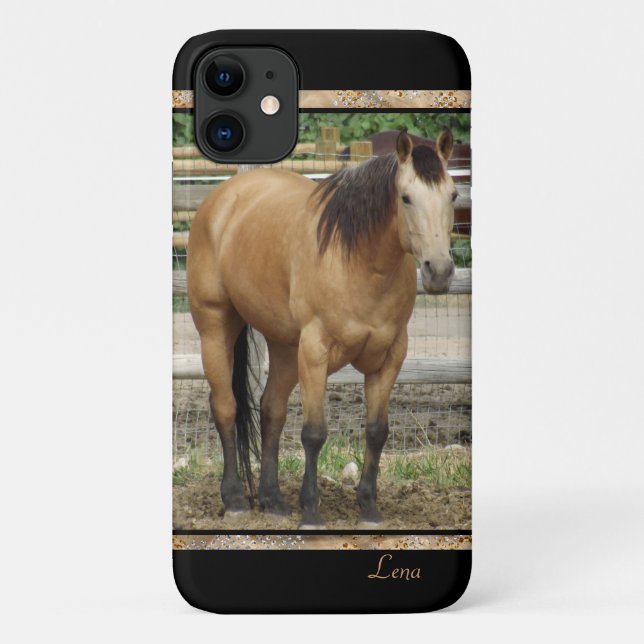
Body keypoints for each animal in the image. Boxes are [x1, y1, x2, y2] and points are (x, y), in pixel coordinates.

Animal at [187, 129, 457, 527]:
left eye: (453, 195)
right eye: (406, 197)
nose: (439, 271)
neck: (359, 262)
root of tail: (222, 197)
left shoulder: (390, 357)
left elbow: (377, 431)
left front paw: (369, 509)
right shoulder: (315, 352)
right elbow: (314, 434)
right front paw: (312, 512)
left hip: (284, 346)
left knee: (272, 411)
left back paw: (273, 500)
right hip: (216, 326)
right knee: (226, 407)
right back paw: (235, 499)